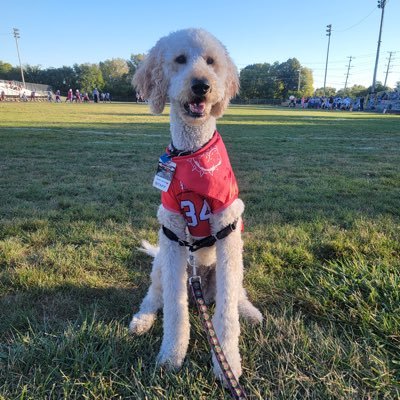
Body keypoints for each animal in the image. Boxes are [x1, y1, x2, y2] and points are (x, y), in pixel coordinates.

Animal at [130, 28, 264, 382]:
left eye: (211, 61)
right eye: (179, 59)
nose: (202, 85)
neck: (192, 154)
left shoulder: (227, 227)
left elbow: (227, 313)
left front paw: (227, 363)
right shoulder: (173, 231)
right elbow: (174, 309)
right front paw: (171, 356)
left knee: (236, 293)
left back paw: (249, 310)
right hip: (161, 265)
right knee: (155, 296)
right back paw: (142, 320)